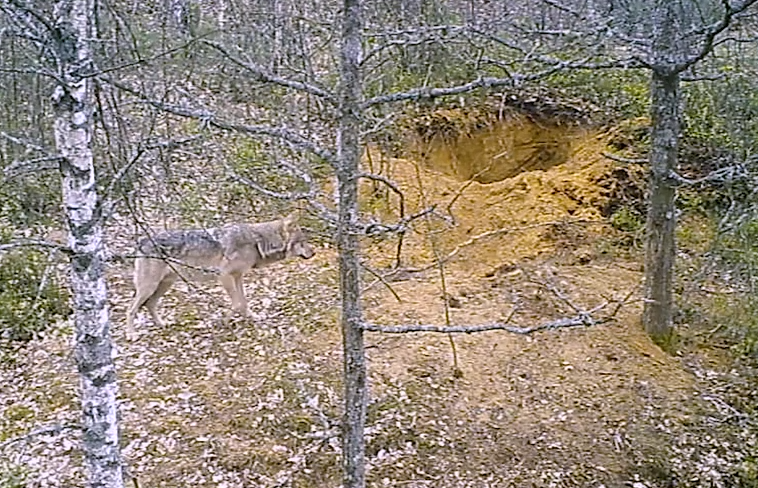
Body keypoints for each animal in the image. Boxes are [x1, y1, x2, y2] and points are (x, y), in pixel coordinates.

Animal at [127, 214, 314, 336]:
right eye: (303, 242)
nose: (314, 253)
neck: (256, 241)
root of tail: (142, 241)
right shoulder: (224, 276)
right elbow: (237, 303)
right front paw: (224, 322)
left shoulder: (238, 276)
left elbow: (243, 303)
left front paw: (253, 317)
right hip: (149, 287)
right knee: (131, 309)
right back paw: (132, 335)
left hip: (165, 284)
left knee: (150, 304)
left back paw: (162, 325)